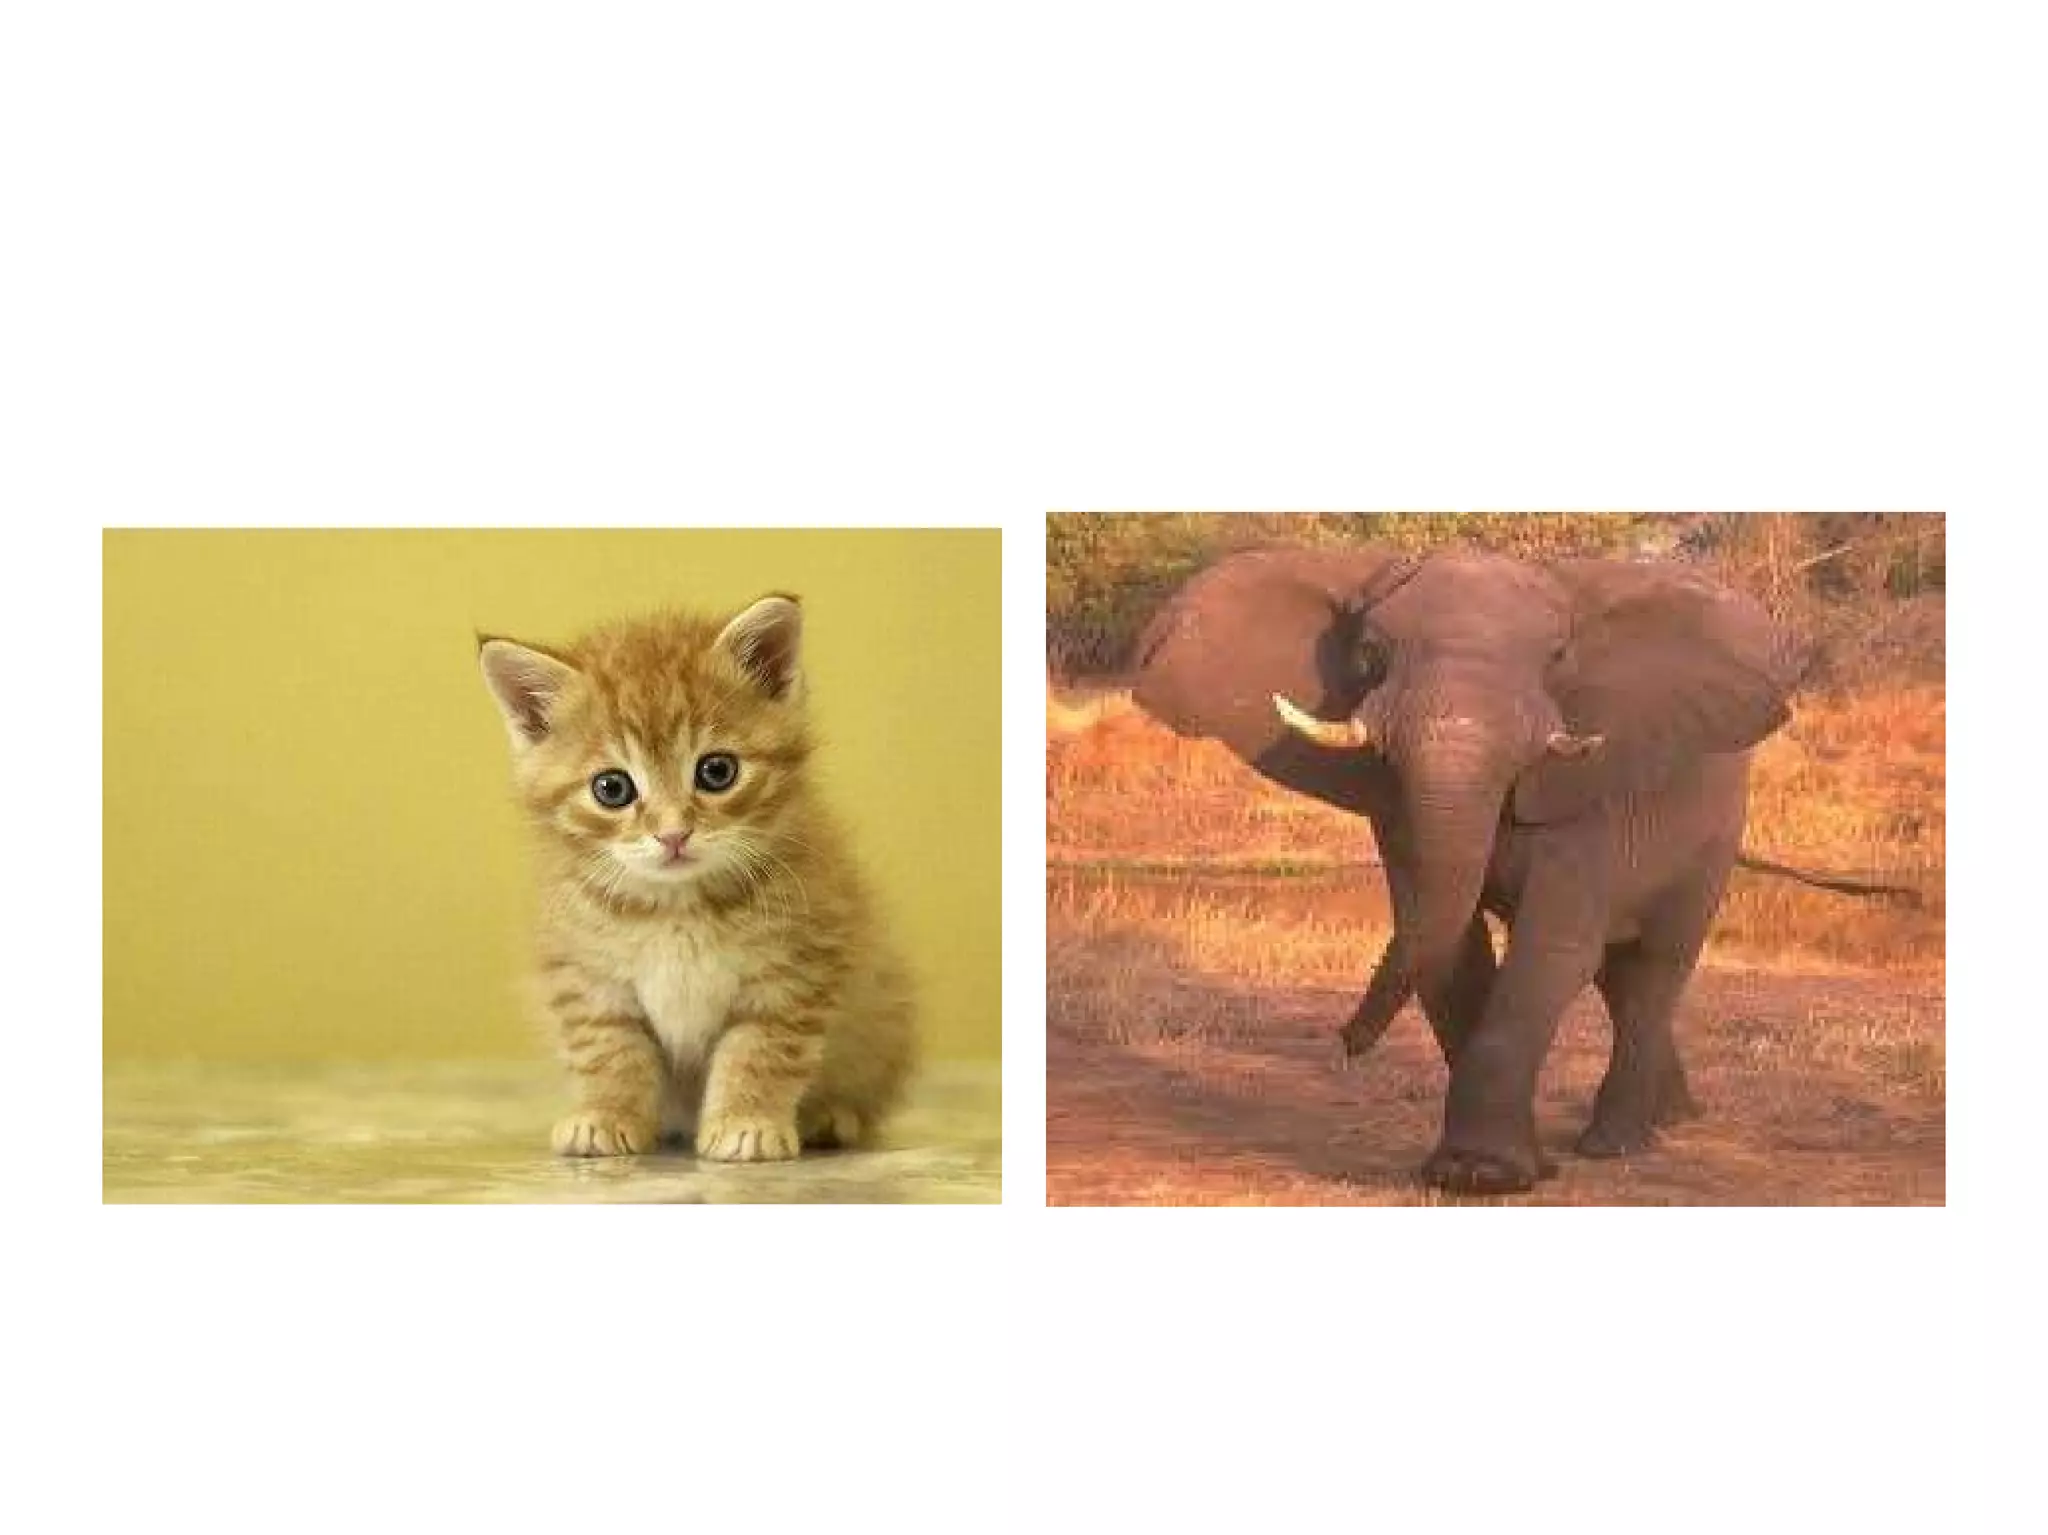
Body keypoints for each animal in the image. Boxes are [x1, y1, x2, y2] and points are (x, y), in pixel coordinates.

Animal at [1131, 542, 1893, 1195]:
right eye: (1371, 654)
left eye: (1556, 657)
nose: (1344, 1041)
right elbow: (1452, 948)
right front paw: (1491, 1168)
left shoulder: (1592, 791)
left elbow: (1552, 948)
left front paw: (1485, 1176)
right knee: (1619, 976)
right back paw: (1673, 1117)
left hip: (1715, 835)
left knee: (1656, 966)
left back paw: (1619, 1143)